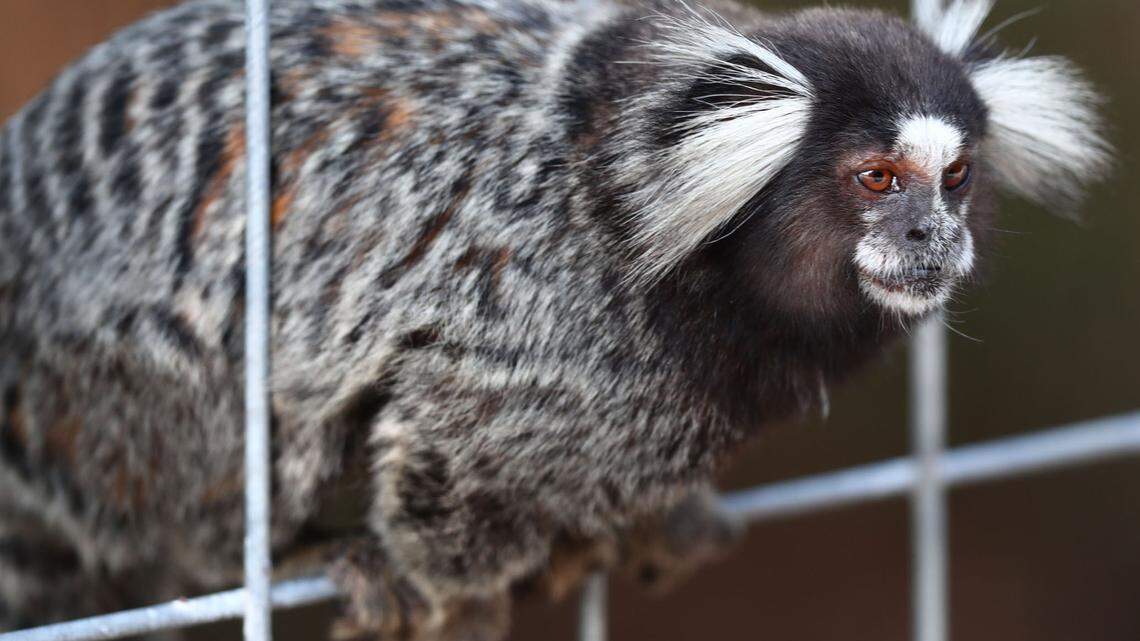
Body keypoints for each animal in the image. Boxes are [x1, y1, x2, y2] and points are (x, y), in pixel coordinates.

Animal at [0, 0, 1110, 637]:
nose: (932, 234)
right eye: (877, 178)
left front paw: (635, 522)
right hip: (109, 392)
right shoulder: (540, 317)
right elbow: (444, 433)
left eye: (955, 178)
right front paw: (465, 578)